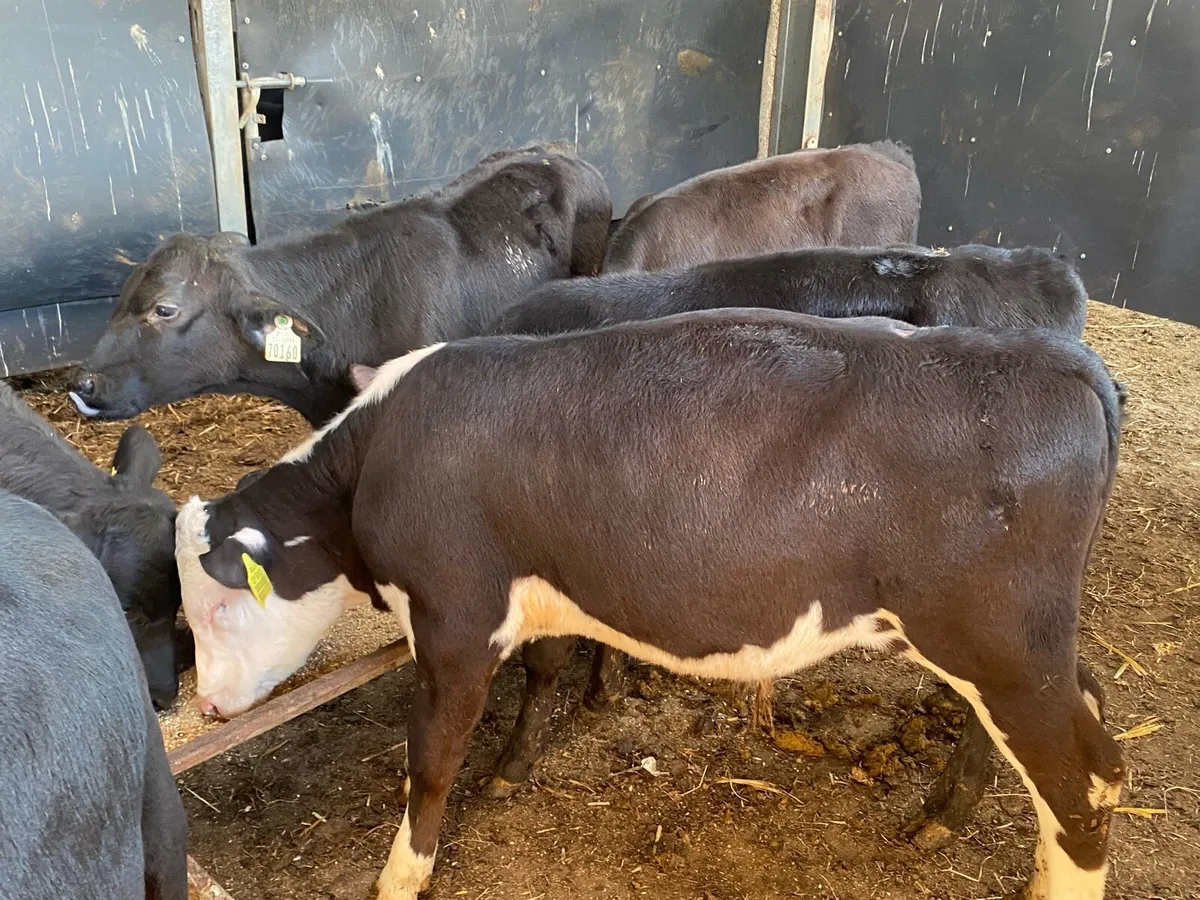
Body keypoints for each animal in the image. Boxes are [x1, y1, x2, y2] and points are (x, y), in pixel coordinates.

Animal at [175, 310, 1125, 900]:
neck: (379, 451)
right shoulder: (544, 592)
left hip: (999, 648)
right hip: (1009, 648)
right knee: (1076, 730)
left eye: (217, 608)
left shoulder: (454, 621)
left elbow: (431, 761)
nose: (209, 705)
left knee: (1085, 779)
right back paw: (955, 824)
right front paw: (514, 766)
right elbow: (547, 670)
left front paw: (402, 873)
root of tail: (1057, 357)